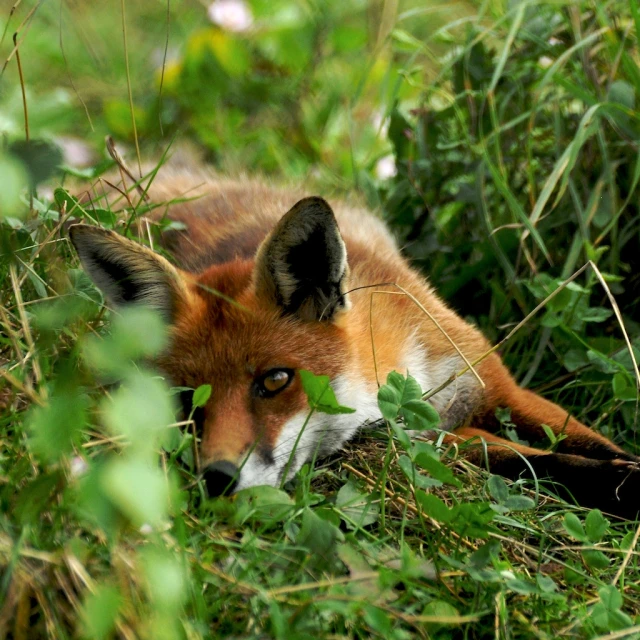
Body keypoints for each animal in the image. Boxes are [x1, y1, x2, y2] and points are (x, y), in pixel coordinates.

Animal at [70, 168, 640, 516]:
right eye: (187, 401)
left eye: (275, 381)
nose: (217, 478)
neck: (411, 371)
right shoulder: (426, 439)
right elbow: (538, 463)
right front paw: (618, 485)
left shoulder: (495, 387)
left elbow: (586, 444)